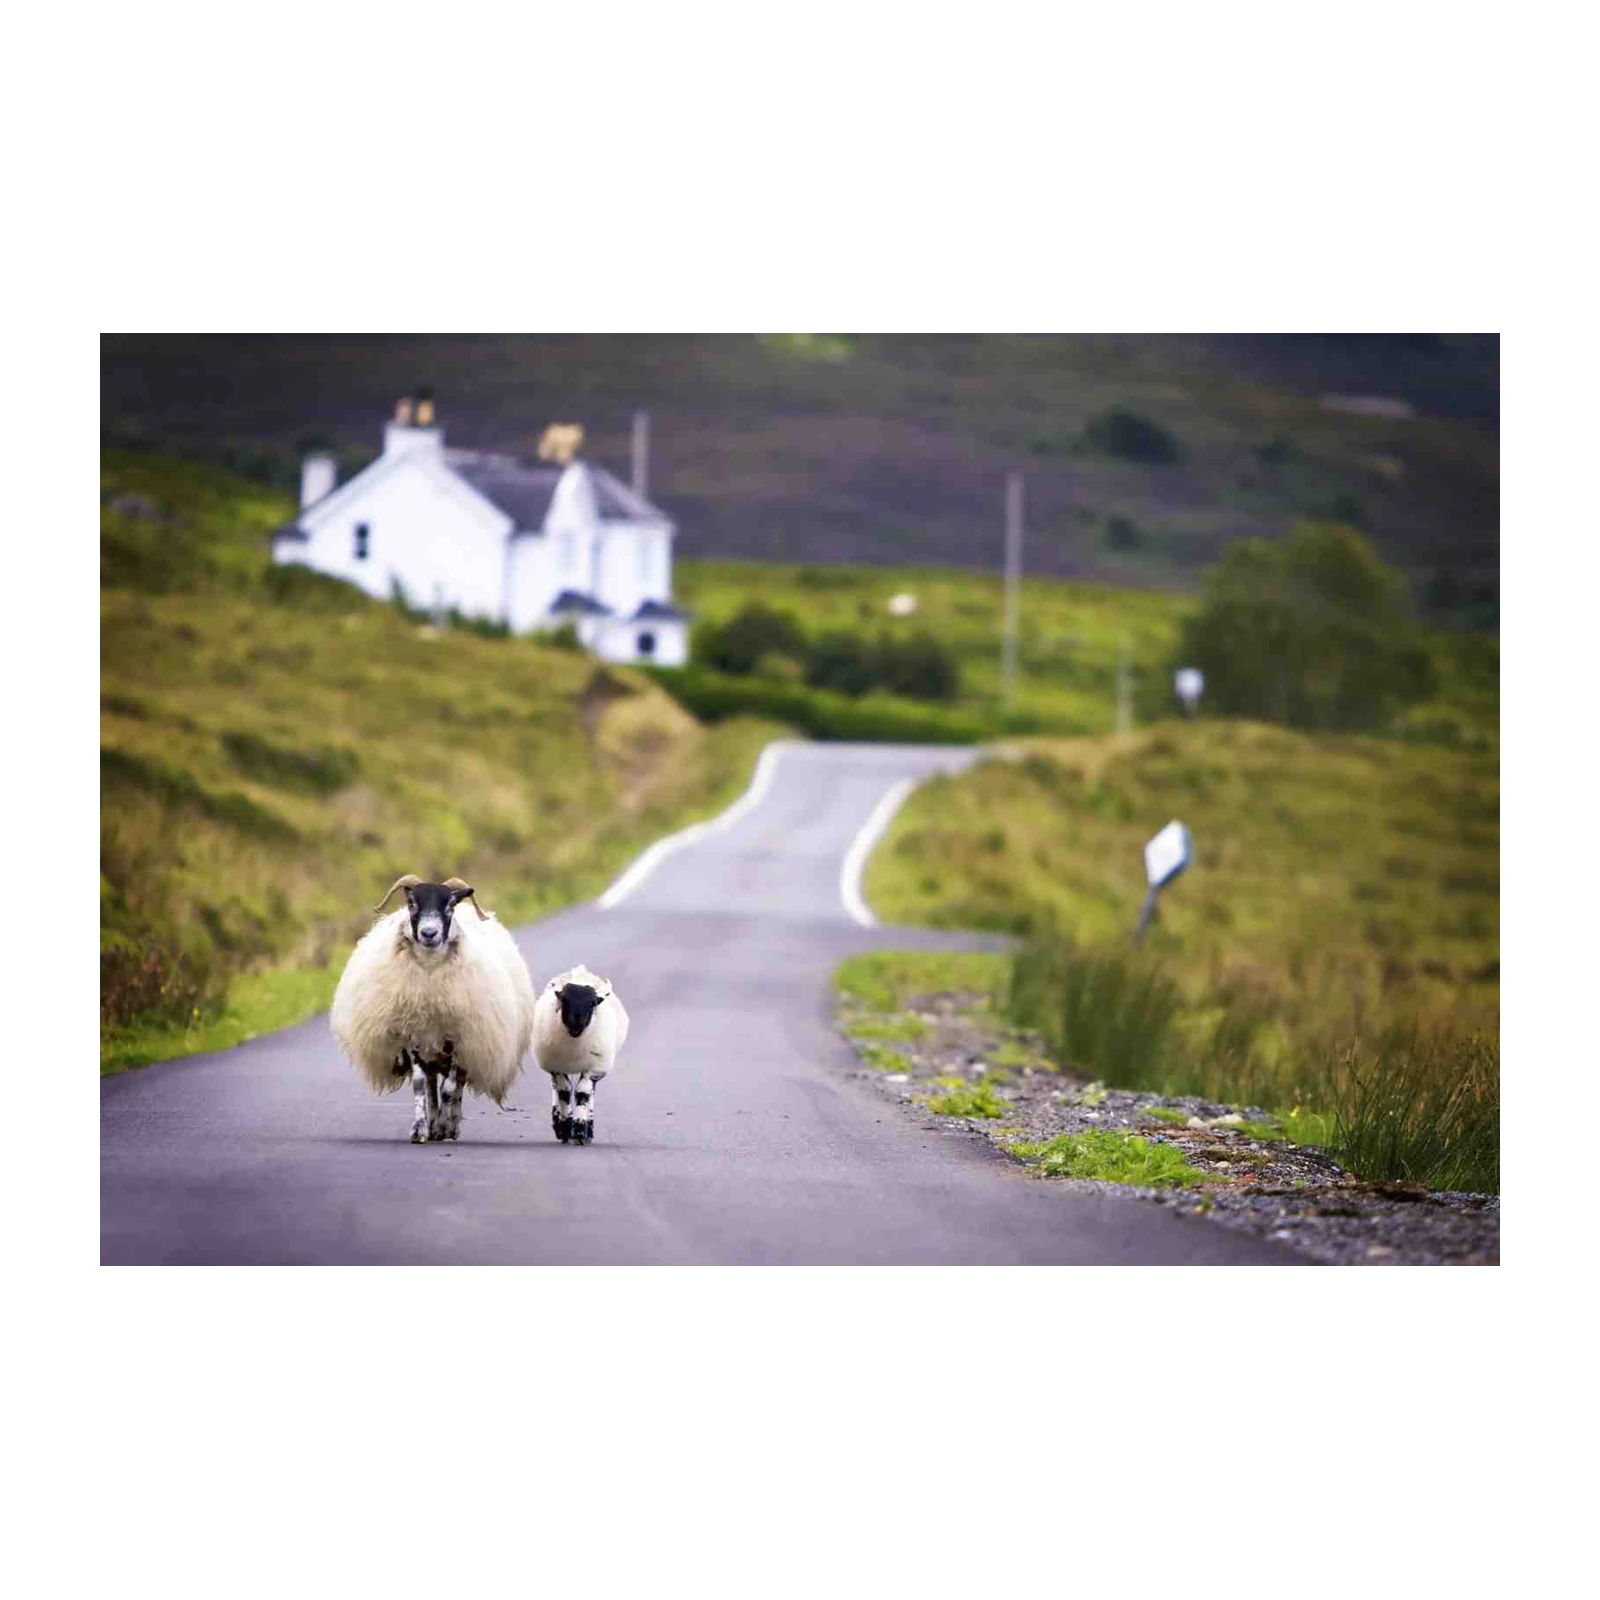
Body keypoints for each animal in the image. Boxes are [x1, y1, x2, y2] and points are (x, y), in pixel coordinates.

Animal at [330, 875, 537, 1143]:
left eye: (450, 904)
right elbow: (421, 1085)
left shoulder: (459, 1039)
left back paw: (450, 1124)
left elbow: (449, 1089)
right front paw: (420, 1129)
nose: (429, 933)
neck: (429, 976)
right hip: (431, 1047)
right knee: (430, 1083)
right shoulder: (413, 1035)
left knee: (456, 1086)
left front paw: (443, 1126)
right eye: (411, 903)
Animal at [532, 964, 630, 1145]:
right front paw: (564, 1127)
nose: (576, 1025)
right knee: (556, 1087)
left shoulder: (592, 1067)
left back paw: (588, 1129)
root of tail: (580, 971)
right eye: (564, 1000)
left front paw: (579, 1130)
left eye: (592, 1004)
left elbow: (582, 1093)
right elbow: (564, 1091)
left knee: (590, 1091)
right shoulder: (557, 1066)